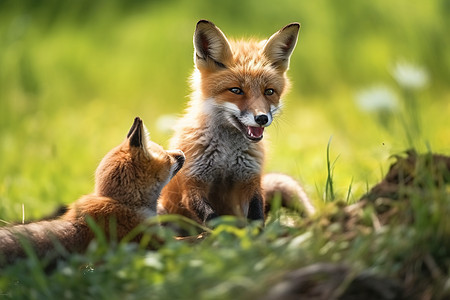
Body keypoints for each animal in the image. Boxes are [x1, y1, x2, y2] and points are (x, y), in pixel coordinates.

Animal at [160, 19, 314, 225]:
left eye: (269, 91)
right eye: (236, 90)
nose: (262, 118)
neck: (226, 154)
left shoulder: (250, 180)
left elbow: (256, 216)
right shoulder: (192, 182)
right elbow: (212, 218)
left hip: (287, 186)